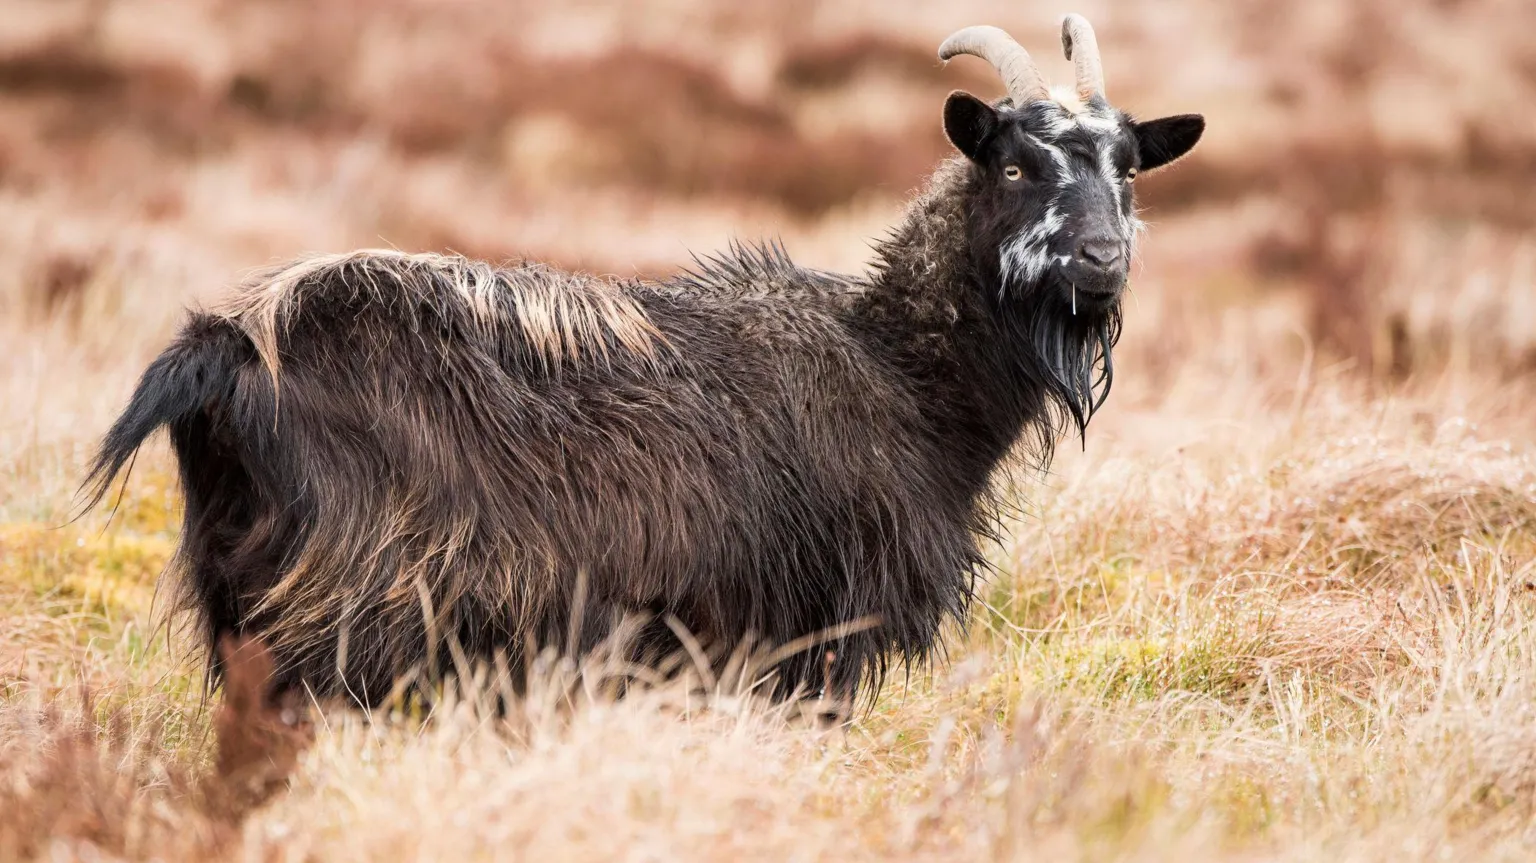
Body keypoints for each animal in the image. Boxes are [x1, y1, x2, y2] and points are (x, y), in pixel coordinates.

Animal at [84, 16, 1204, 707]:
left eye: (1129, 171)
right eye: (1013, 164)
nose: (1102, 261)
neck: (897, 373)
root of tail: (230, 346)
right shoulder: (805, 641)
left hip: (243, 598)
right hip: (352, 612)